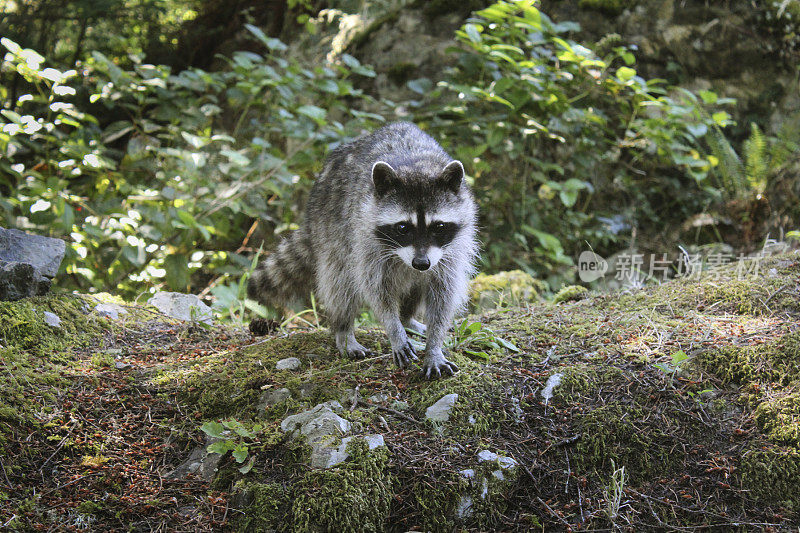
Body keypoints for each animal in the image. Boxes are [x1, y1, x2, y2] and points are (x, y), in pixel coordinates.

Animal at [247, 121, 478, 378]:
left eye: (438, 226)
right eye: (402, 228)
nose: (421, 263)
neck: (415, 165)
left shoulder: (452, 249)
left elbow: (443, 293)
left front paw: (434, 344)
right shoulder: (365, 237)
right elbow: (376, 289)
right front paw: (393, 329)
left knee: (416, 284)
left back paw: (407, 318)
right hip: (331, 230)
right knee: (340, 282)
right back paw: (345, 329)